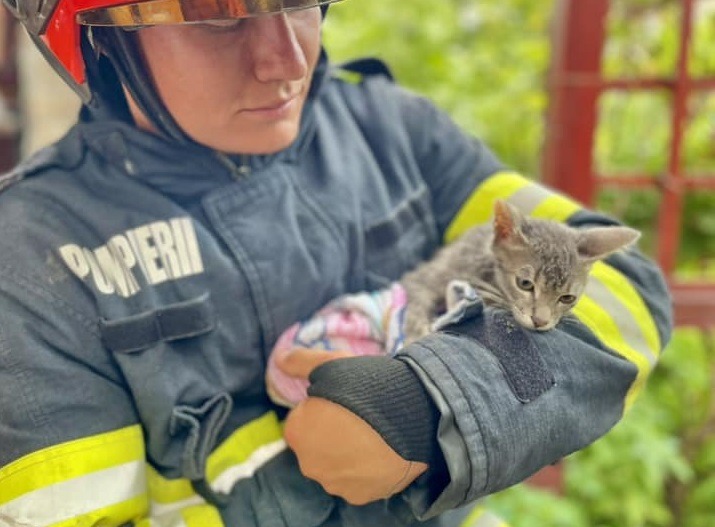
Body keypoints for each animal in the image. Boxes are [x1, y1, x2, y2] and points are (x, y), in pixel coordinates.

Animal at [402, 199, 644, 342]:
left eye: (567, 298)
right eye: (525, 284)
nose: (540, 321)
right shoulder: (425, 276)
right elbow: (415, 301)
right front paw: (414, 335)